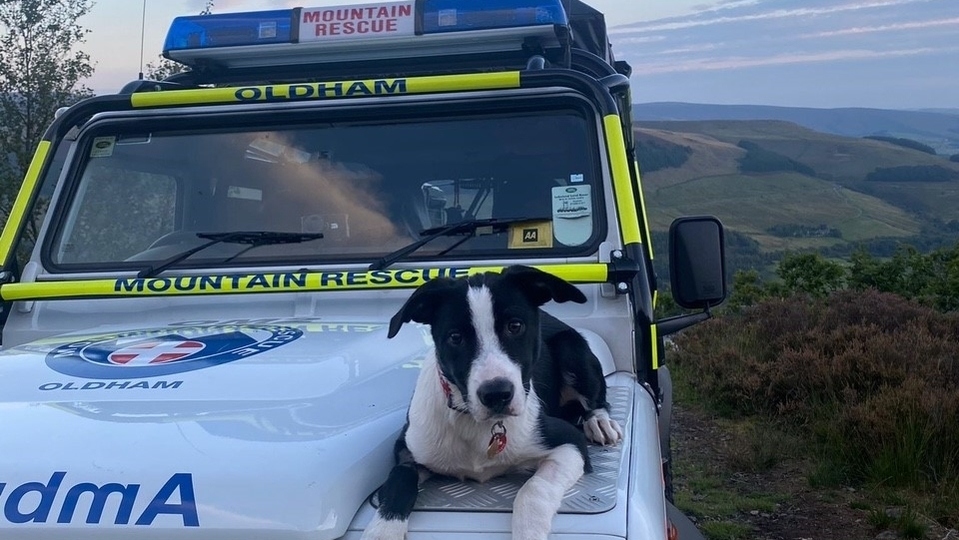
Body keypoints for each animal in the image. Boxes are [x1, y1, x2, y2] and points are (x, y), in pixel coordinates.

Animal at [360, 264, 624, 540]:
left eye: (515, 326)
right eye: (455, 337)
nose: (496, 394)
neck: (474, 422)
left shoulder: (571, 444)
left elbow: (534, 489)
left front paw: (529, 531)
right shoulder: (406, 451)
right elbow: (398, 481)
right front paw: (382, 531)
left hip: (573, 349)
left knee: (597, 400)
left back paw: (599, 422)